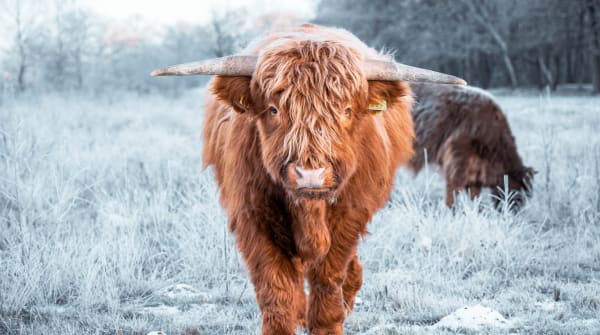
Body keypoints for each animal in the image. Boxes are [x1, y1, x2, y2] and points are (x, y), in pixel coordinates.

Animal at [151, 24, 464, 335]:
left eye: (346, 110)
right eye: (274, 109)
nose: (310, 175)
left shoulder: (350, 215)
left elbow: (328, 276)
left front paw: (328, 322)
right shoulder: (253, 216)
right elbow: (275, 287)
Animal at [408, 83, 536, 210]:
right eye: (518, 191)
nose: (514, 211)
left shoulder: (476, 173)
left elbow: (475, 196)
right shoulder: (457, 163)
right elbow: (452, 193)